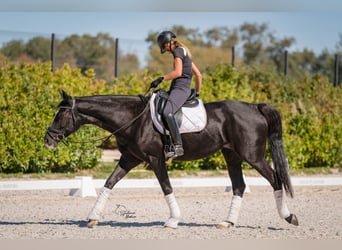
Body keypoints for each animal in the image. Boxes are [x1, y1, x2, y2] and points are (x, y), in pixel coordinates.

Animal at [44, 89, 298, 229]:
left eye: (61, 115)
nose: (48, 140)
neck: (133, 118)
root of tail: (254, 107)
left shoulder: (155, 159)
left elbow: (166, 187)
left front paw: (173, 220)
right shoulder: (129, 158)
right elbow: (109, 183)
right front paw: (92, 217)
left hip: (252, 155)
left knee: (275, 179)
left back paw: (289, 217)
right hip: (232, 155)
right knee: (239, 186)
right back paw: (227, 223)